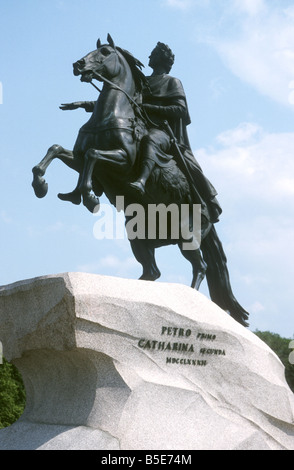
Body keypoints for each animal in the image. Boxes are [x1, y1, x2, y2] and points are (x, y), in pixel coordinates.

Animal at [32, 35, 249, 324]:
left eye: (105, 52)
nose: (78, 65)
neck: (113, 113)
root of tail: (210, 217)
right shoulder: (77, 158)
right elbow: (57, 150)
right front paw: (44, 185)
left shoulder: (122, 160)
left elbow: (93, 155)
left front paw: (88, 196)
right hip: (138, 236)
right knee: (152, 271)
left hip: (187, 236)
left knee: (200, 266)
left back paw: (191, 301)